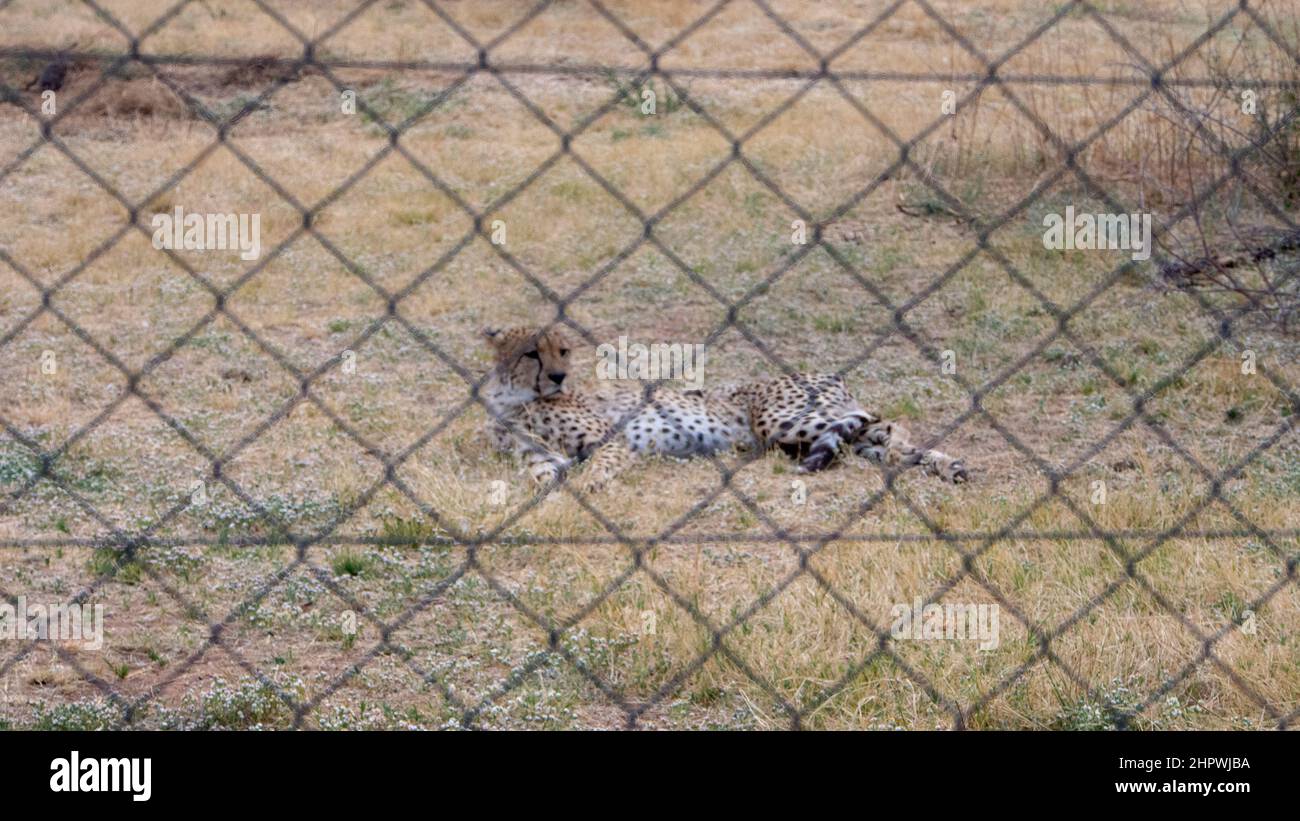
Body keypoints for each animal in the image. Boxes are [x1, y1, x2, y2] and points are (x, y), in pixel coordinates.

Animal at [480, 323, 967, 491]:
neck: (514, 398)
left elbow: (593, 469)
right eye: (531, 353)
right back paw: (950, 466)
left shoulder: (611, 439)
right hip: (826, 431)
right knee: (888, 441)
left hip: (785, 420)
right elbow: (540, 477)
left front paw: (587, 488)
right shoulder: (542, 458)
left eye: (562, 351)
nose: (559, 377)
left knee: (891, 424)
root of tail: (828, 372)